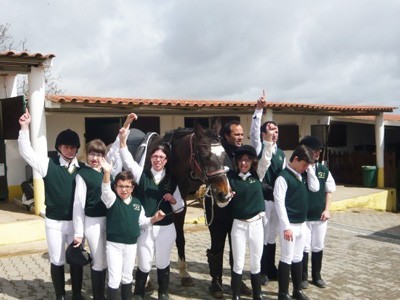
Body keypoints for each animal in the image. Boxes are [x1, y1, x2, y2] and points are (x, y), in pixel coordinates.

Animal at [127, 121, 234, 286]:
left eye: (224, 156)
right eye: (205, 156)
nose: (225, 194)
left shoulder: (179, 206)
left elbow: (180, 238)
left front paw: (184, 273)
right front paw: (146, 278)